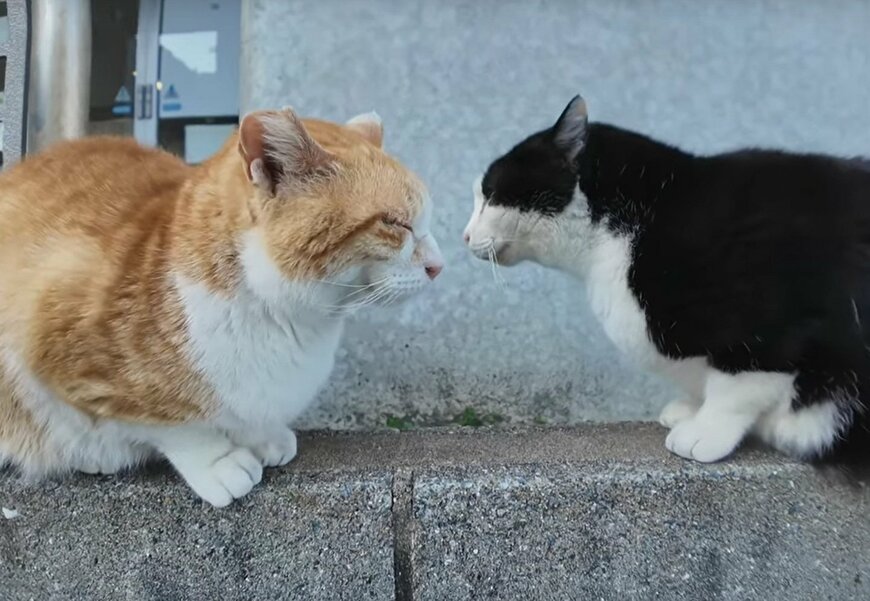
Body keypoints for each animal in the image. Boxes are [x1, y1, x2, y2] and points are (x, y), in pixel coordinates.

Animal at [0, 105, 442, 504]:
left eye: (424, 222)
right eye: (395, 223)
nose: (439, 266)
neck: (285, 319)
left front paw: (263, 437)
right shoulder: (59, 345)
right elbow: (172, 424)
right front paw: (217, 461)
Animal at [466, 95, 870, 464]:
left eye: (490, 195)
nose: (465, 236)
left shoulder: (767, 324)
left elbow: (739, 384)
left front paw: (706, 430)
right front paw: (691, 409)